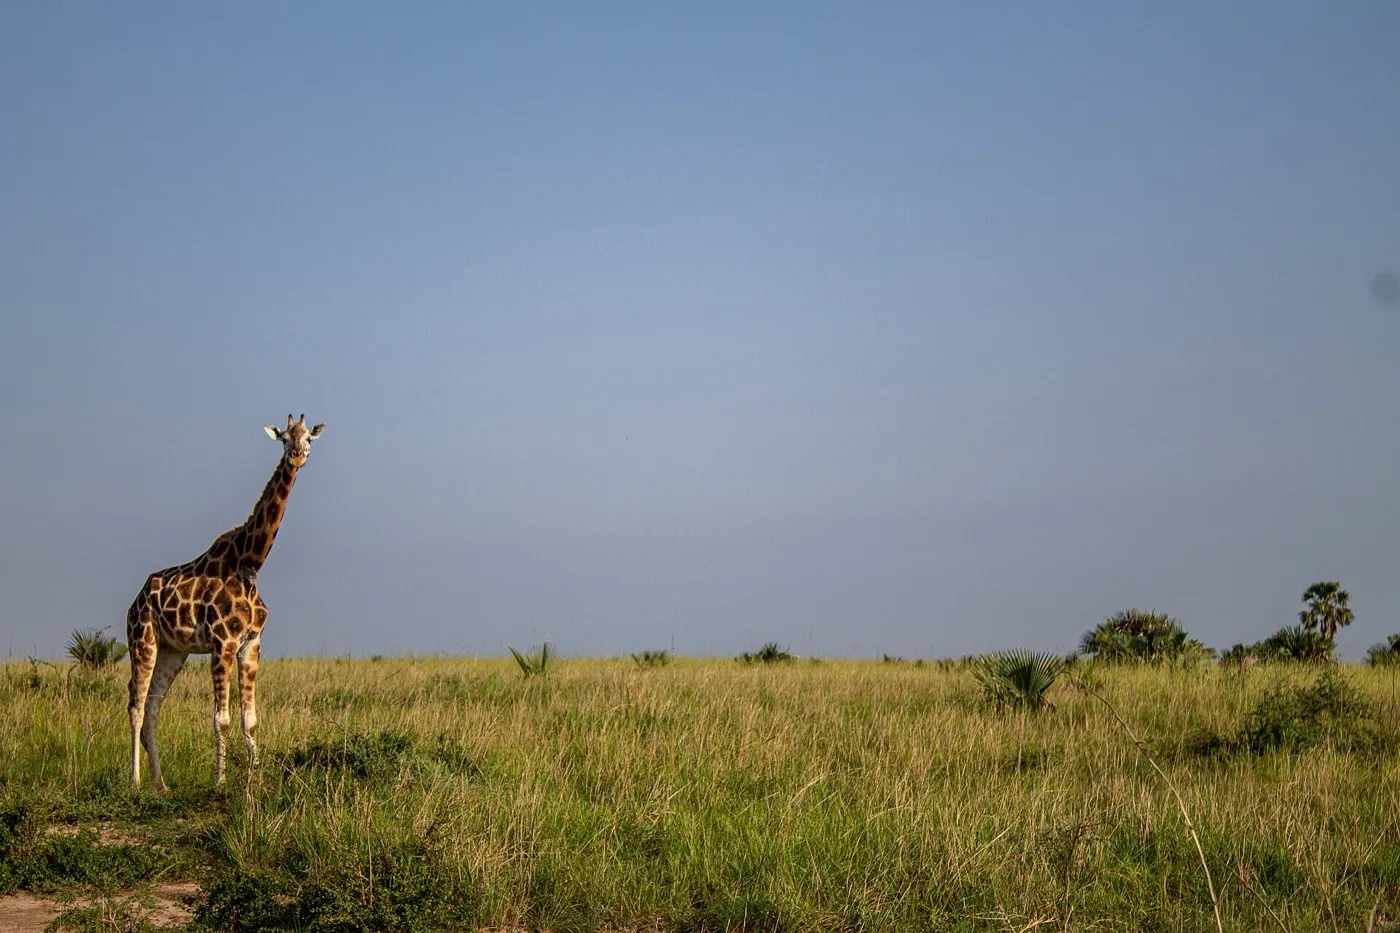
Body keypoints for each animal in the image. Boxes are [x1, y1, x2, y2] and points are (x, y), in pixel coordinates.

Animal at [125, 414, 325, 791]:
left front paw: (254, 781)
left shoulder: (251, 643)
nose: (297, 455)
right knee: (137, 705)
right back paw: (136, 782)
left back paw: (162, 785)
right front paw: (219, 782)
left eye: (308, 437)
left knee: (154, 707)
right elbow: (221, 718)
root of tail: (135, 600)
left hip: (173, 650)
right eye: (283, 437)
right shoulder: (222, 642)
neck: (250, 564)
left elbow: (250, 719)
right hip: (142, 640)